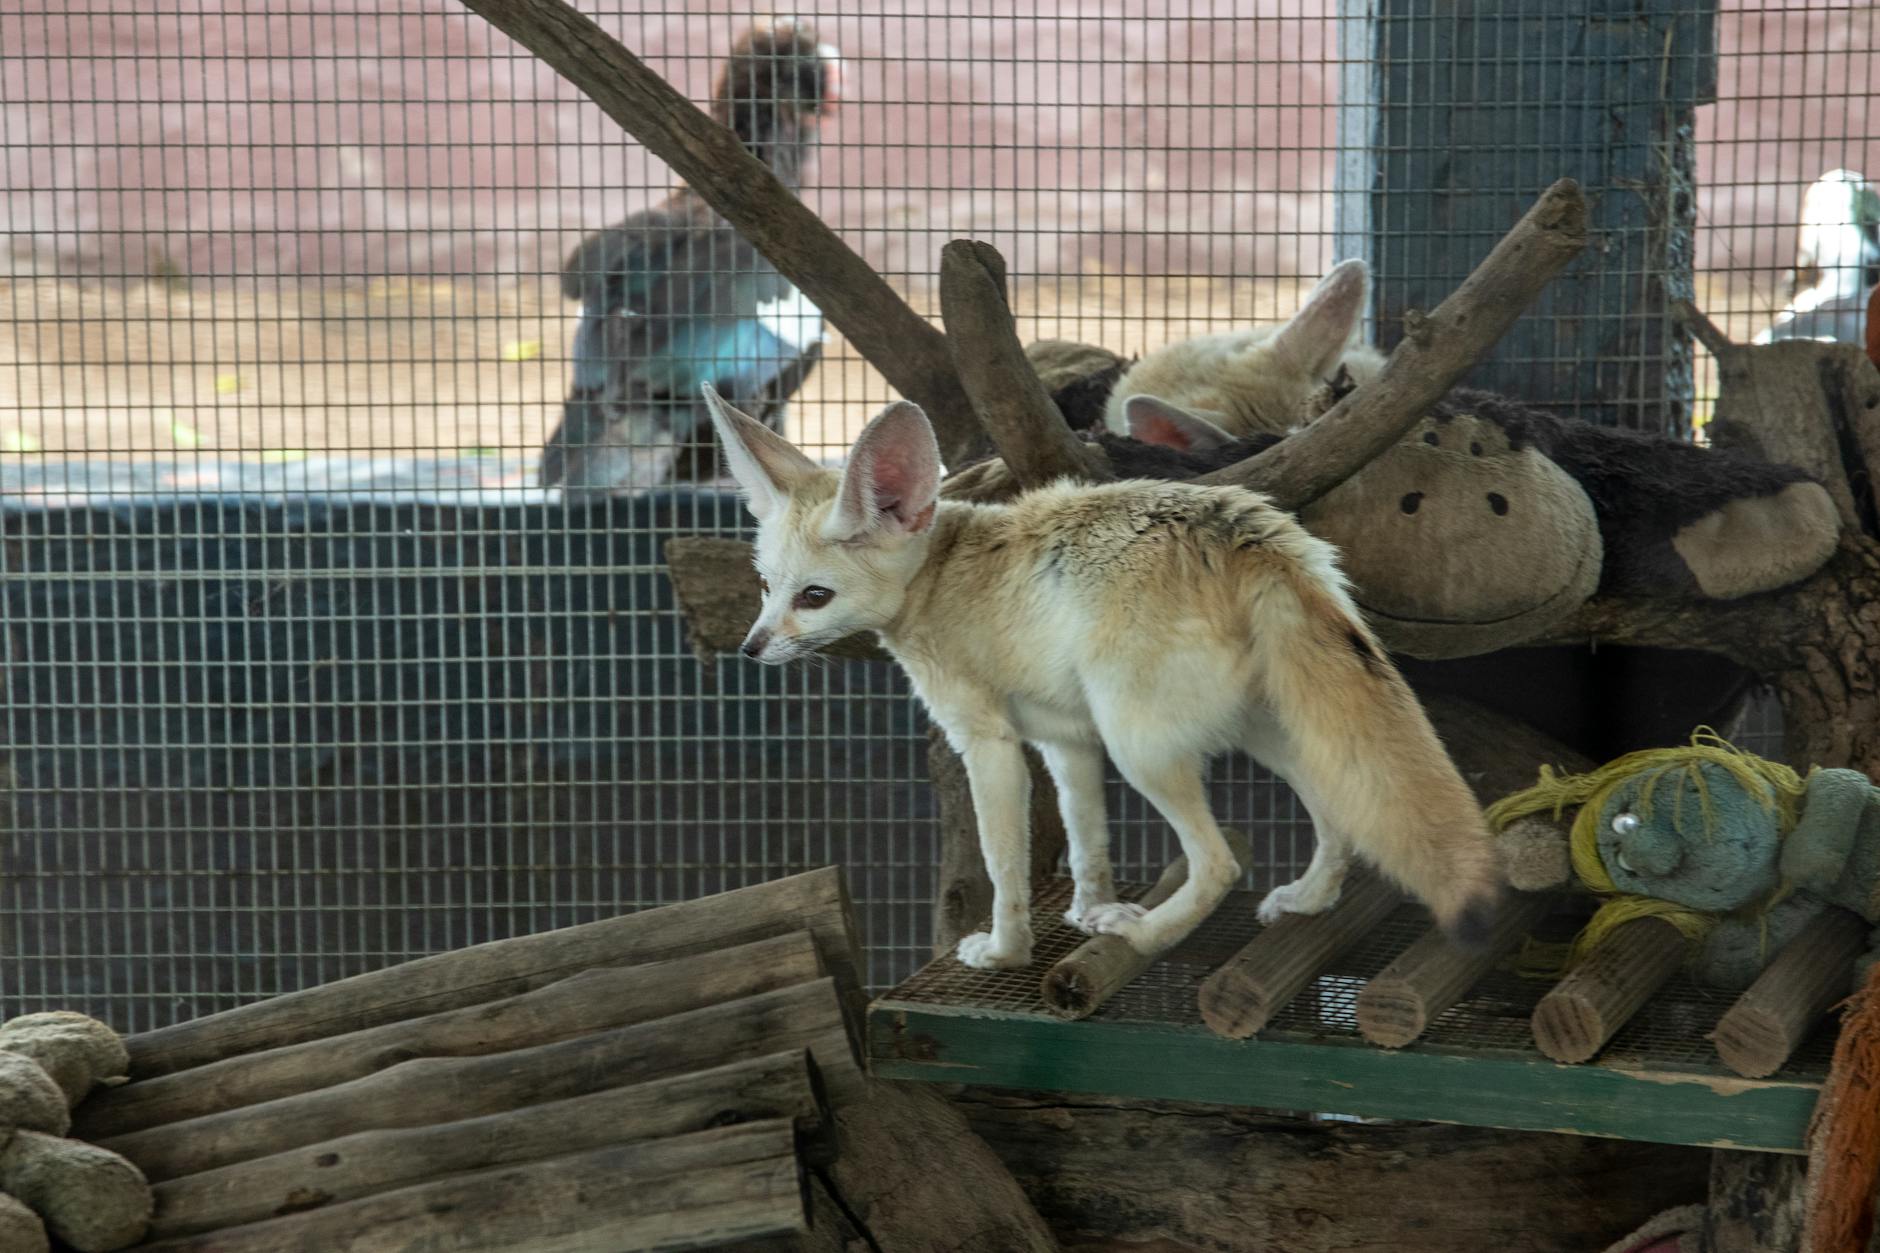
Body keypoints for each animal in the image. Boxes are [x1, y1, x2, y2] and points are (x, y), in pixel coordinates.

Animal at [701, 380, 1504, 970]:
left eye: (814, 597)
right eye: (766, 586)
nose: (751, 650)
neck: (938, 573)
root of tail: (1250, 534)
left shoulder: (988, 743)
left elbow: (1005, 865)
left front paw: (1006, 951)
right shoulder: (1067, 741)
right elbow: (1089, 839)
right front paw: (1088, 907)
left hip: (1143, 747)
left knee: (1218, 864)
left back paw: (1144, 934)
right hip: (1263, 731)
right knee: (1338, 817)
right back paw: (1306, 898)